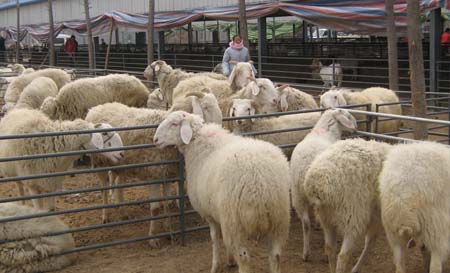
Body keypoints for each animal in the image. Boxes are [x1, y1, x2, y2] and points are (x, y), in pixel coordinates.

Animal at [85, 98, 221, 246]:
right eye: (206, 108)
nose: (219, 127)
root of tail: (96, 108)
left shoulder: (167, 174)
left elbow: (167, 205)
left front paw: (168, 230)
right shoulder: (153, 176)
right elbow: (155, 209)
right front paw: (153, 238)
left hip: (119, 163)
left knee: (118, 182)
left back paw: (123, 210)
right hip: (100, 161)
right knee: (104, 189)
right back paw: (106, 215)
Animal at [153, 110, 290, 272]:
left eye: (174, 123)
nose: (155, 139)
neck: (197, 144)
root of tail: (261, 181)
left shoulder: (210, 214)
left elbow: (214, 238)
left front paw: (216, 265)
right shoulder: (218, 212)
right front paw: (230, 260)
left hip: (235, 221)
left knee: (244, 257)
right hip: (279, 219)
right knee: (276, 255)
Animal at [290, 109, 356, 262]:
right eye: (348, 116)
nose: (355, 127)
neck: (325, 132)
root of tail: (306, 169)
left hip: (297, 195)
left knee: (306, 224)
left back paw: (306, 253)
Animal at [304, 138, 392, 272]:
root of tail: (319, 184)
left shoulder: (376, 218)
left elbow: (371, 240)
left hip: (327, 218)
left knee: (330, 249)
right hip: (352, 216)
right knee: (343, 255)